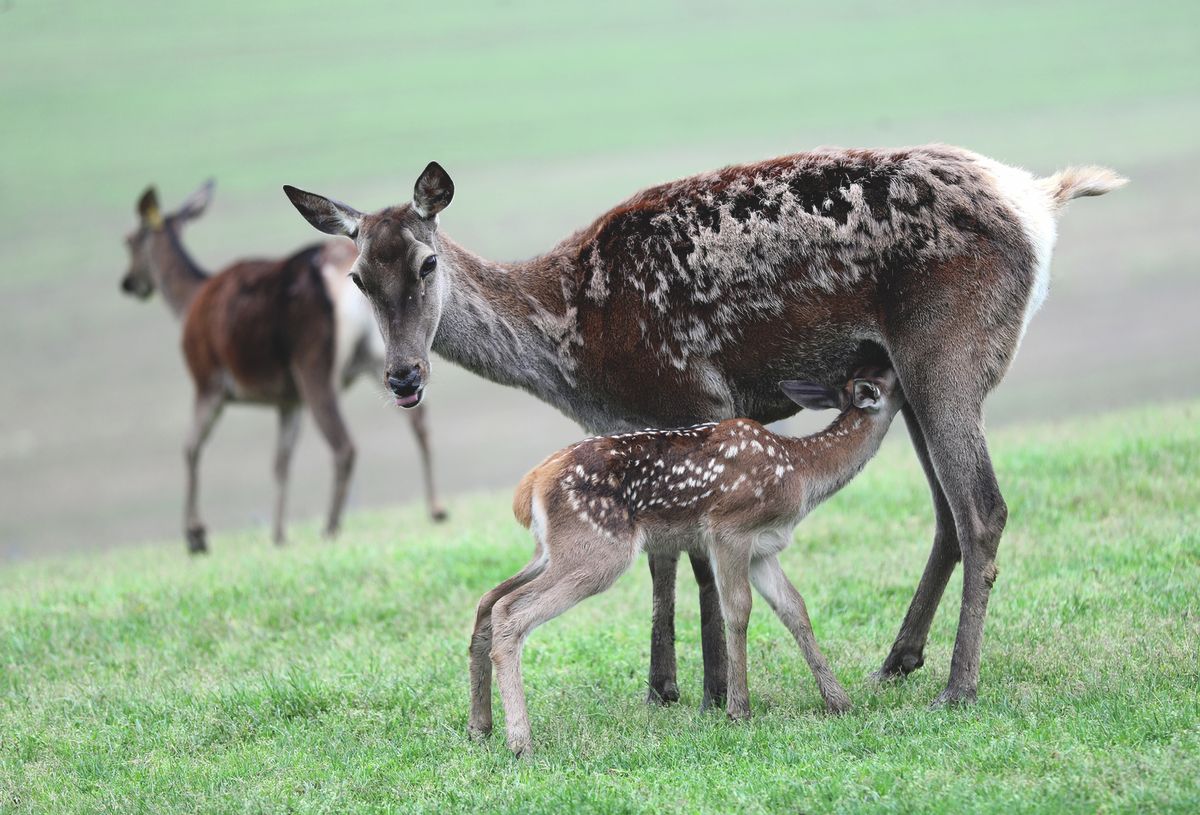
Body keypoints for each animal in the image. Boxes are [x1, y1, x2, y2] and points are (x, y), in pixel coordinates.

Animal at [119, 182, 448, 554]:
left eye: (129, 240)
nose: (128, 282)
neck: (187, 302)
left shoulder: (207, 380)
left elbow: (190, 448)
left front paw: (196, 536)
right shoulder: (288, 400)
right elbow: (281, 462)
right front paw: (278, 535)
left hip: (314, 362)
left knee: (344, 445)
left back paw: (330, 527)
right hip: (379, 356)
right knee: (418, 419)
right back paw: (435, 508)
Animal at [283, 146, 1123, 705]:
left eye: (426, 264)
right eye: (358, 277)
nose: (403, 376)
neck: (571, 342)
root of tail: (1040, 199)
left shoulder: (693, 394)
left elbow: (691, 562)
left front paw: (713, 687)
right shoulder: (646, 426)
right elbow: (661, 559)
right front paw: (666, 685)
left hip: (947, 350)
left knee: (982, 509)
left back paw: (958, 684)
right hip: (911, 377)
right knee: (948, 515)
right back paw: (895, 661)